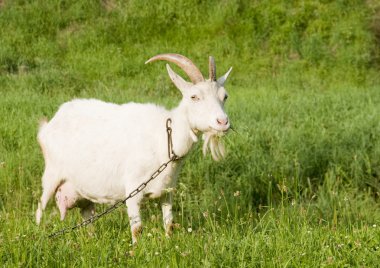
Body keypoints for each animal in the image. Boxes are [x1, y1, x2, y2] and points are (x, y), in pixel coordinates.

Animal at [35, 52, 232, 243]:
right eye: (194, 97)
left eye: (225, 96)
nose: (223, 122)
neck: (164, 138)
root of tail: (50, 124)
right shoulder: (133, 190)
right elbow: (137, 229)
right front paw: (136, 250)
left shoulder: (167, 191)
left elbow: (169, 224)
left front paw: (169, 243)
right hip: (51, 175)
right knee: (40, 208)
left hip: (82, 191)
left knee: (87, 215)